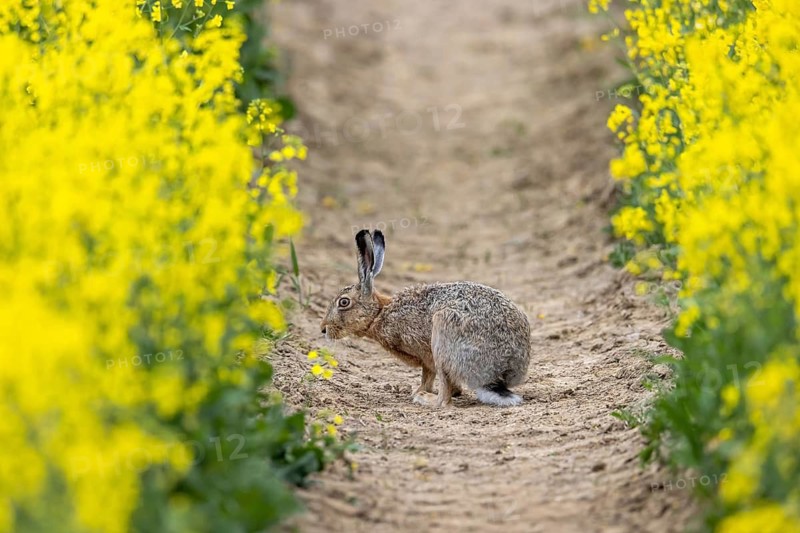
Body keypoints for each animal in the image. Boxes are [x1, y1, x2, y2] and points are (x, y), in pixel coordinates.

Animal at [320, 229, 531, 407]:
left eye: (344, 302)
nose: (323, 329)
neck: (380, 313)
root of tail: (501, 369)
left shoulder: (424, 354)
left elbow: (427, 376)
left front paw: (419, 392)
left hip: (443, 333)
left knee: (443, 400)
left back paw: (425, 399)